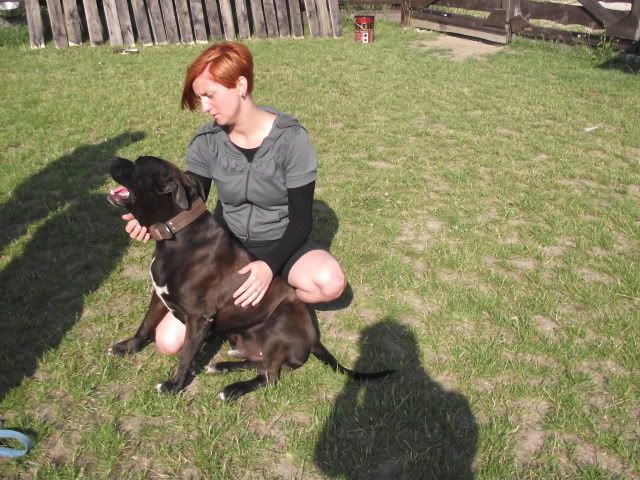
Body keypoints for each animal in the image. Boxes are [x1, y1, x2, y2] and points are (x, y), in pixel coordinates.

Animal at [107, 156, 392, 400]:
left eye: (136, 164)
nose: (114, 158)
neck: (177, 235)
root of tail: (314, 339)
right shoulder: (159, 295)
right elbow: (145, 326)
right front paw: (126, 347)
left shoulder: (199, 317)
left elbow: (185, 355)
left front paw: (174, 385)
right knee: (257, 363)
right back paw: (222, 366)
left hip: (279, 325)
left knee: (270, 376)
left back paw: (232, 389)